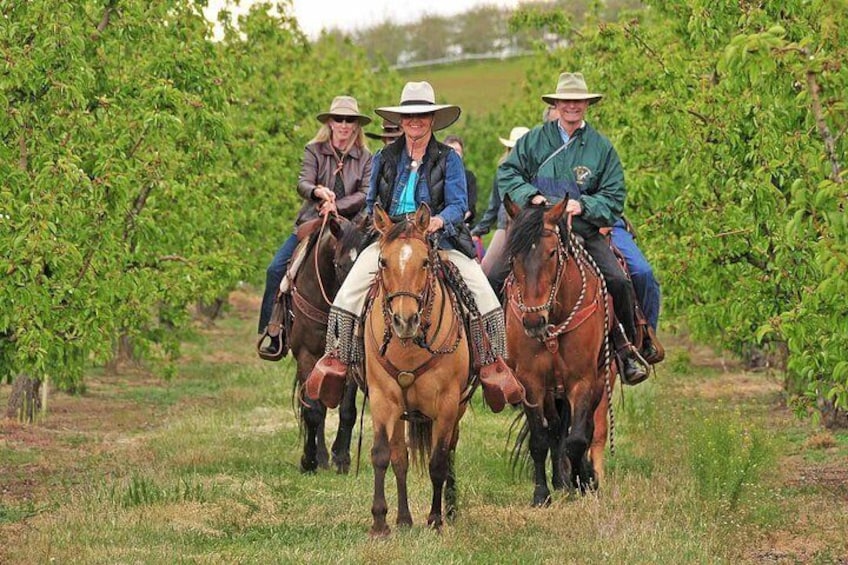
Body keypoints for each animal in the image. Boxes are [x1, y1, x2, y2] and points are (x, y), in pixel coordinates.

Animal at [290, 214, 366, 474]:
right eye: (340, 266)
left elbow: (347, 410)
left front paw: (342, 458)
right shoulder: (307, 356)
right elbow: (313, 411)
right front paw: (309, 461)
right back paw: (319, 457)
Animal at [362, 203, 474, 536]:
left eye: (425, 262)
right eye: (382, 261)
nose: (404, 321)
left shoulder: (447, 404)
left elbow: (438, 461)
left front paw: (435, 519)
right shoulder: (383, 398)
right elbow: (382, 455)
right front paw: (380, 522)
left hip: (457, 408)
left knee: (450, 450)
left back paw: (449, 509)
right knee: (401, 456)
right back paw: (403, 519)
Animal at [504, 196, 616, 504]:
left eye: (552, 253)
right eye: (513, 256)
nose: (533, 321)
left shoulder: (583, 379)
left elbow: (577, 438)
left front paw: (585, 482)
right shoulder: (530, 382)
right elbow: (540, 439)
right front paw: (542, 493)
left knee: (586, 429)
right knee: (555, 429)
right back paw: (560, 479)